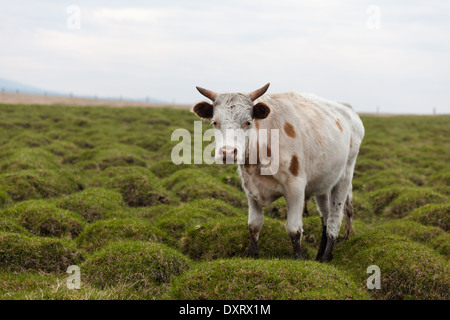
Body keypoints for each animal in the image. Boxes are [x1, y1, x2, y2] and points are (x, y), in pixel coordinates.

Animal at [192, 84, 364, 262]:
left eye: (248, 122)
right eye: (215, 122)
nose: (228, 152)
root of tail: (349, 110)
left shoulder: (295, 188)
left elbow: (294, 229)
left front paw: (299, 258)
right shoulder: (250, 189)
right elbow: (254, 225)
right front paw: (252, 255)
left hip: (344, 177)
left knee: (335, 219)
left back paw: (326, 257)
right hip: (323, 182)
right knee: (325, 216)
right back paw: (319, 256)